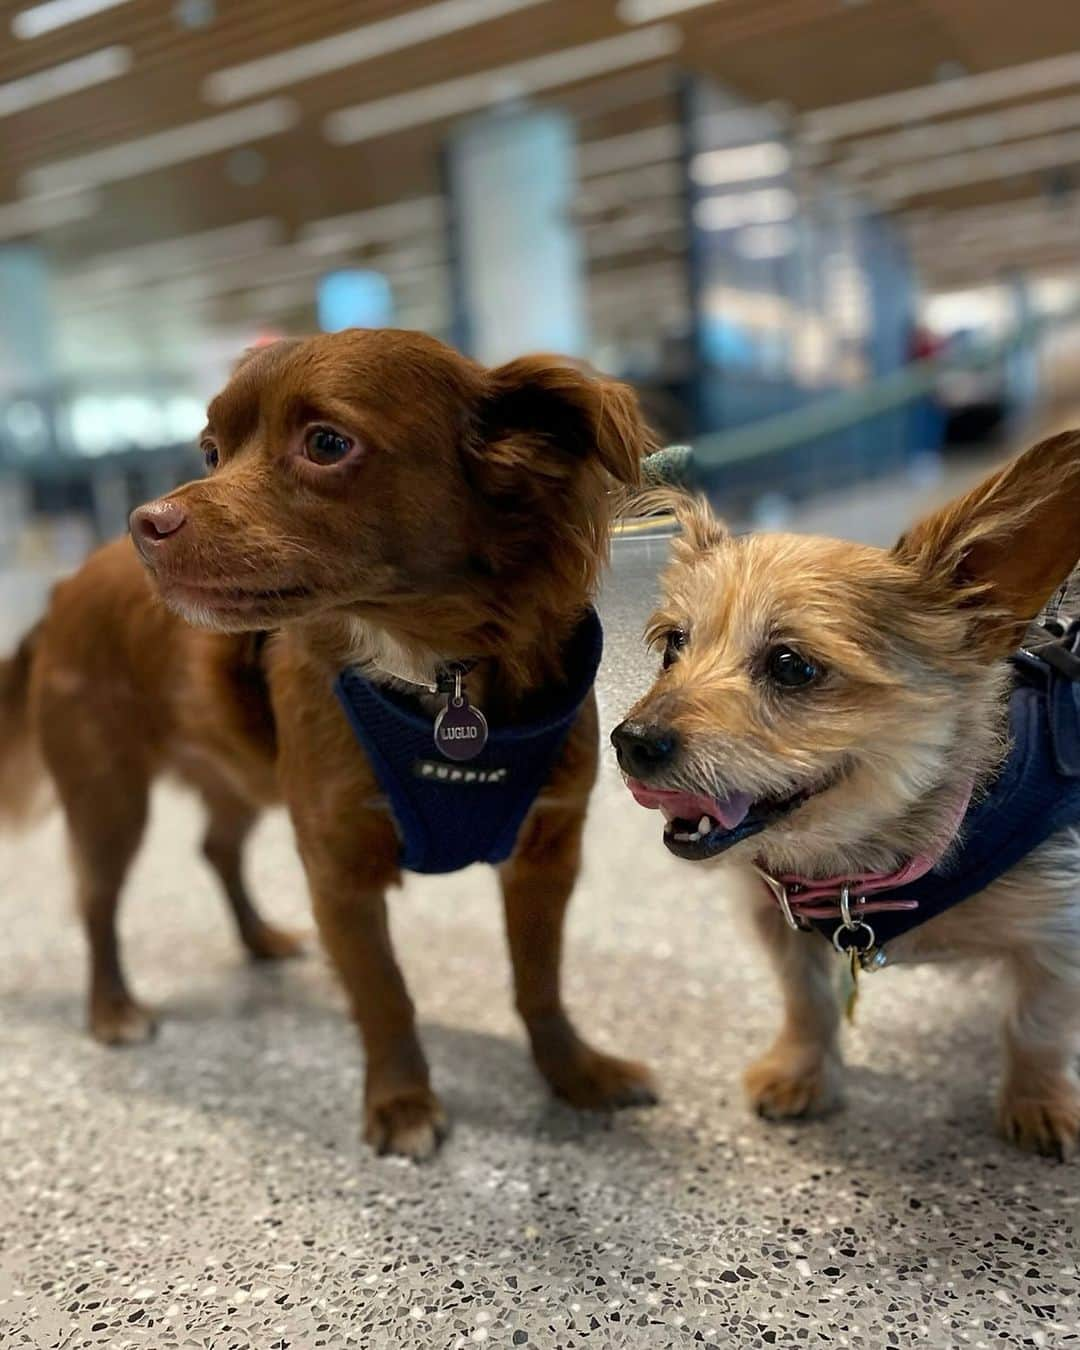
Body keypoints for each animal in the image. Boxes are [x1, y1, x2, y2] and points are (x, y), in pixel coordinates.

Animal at [2, 329, 658, 1161]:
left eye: (326, 444)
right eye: (211, 452)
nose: (143, 524)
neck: (441, 674)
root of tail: (63, 588)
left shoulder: (546, 854)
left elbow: (539, 981)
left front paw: (575, 1074)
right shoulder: (338, 867)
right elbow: (383, 994)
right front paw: (402, 1103)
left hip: (235, 775)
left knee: (215, 848)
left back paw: (257, 940)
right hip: (109, 796)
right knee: (96, 900)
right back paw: (113, 1008)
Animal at [612, 434, 1080, 1161]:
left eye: (791, 667)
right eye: (673, 646)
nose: (629, 741)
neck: (863, 866)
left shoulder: (1058, 931)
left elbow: (1037, 1026)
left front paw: (1036, 1103)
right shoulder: (777, 920)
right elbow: (807, 1002)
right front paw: (803, 1073)